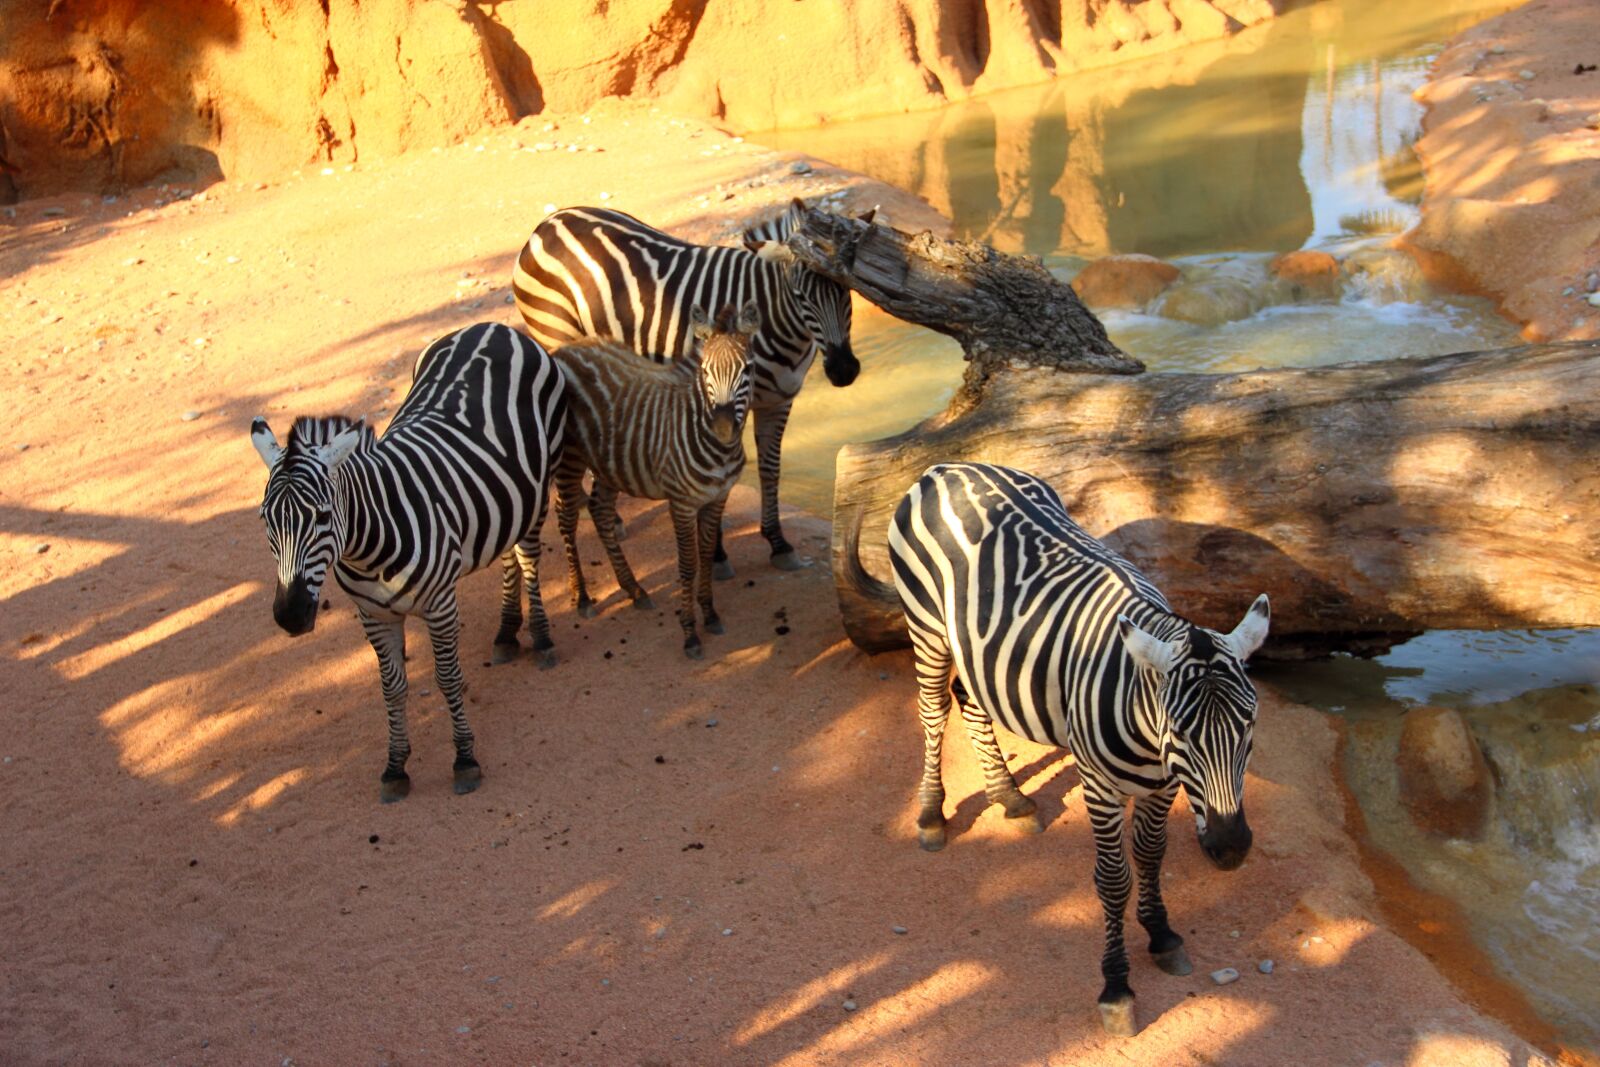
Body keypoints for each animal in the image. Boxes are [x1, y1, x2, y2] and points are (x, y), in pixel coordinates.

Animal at [249, 323, 569, 799]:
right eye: (266, 520)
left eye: (323, 516)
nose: (290, 616)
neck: (369, 551)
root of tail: (491, 327)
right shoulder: (373, 616)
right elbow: (392, 688)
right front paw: (396, 766)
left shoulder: (439, 606)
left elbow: (447, 677)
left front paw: (464, 759)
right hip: (504, 497)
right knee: (508, 552)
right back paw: (507, 632)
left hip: (540, 482)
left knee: (528, 558)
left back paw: (542, 638)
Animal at [512, 195, 864, 572]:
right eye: (800, 296)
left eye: (847, 290)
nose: (844, 370)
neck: (778, 323)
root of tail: (549, 222)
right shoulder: (716, 395)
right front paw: (719, 554)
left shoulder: (778, 401)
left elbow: (770, 470)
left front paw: (778, 543)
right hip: (555, 334)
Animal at [550, 300, 761, 662]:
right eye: (705, 371)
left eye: (746, 370)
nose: (722, 428)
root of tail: (565, 349)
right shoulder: (681, 503)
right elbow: (688, 563)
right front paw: (690, 633)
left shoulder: (717, 498)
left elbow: (707, 554)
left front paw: (710, 614)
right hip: (570, 457)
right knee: (566, 518)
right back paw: (582, 597)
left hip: (609, 463)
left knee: (600, 511)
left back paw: (634, 589)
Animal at [883, 463, 1267, 1036]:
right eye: (1180, 731)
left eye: (1249, 727)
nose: (1230, 850)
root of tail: (949, 467)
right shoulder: (1101, 787)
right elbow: (1113, 879)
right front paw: (1117, 987)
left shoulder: (1163, 786)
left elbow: (1151, 856)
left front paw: (1161, 934)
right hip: (926, 626)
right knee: (933, 711)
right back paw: (932, 814)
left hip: (978, 648)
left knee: (971, 702)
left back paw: (1010, 799)